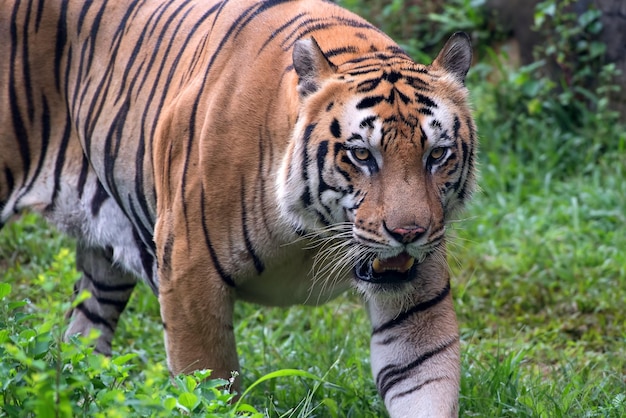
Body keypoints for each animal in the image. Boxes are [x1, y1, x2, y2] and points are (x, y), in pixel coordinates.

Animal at [1, 0, 472, 414]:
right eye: (361, 155)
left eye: (437, 155)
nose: (408, 234)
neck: (313, 235)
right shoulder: (188, 274)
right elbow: (206, 385)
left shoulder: (416, 303)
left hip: (106, 260)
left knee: (82, 340)